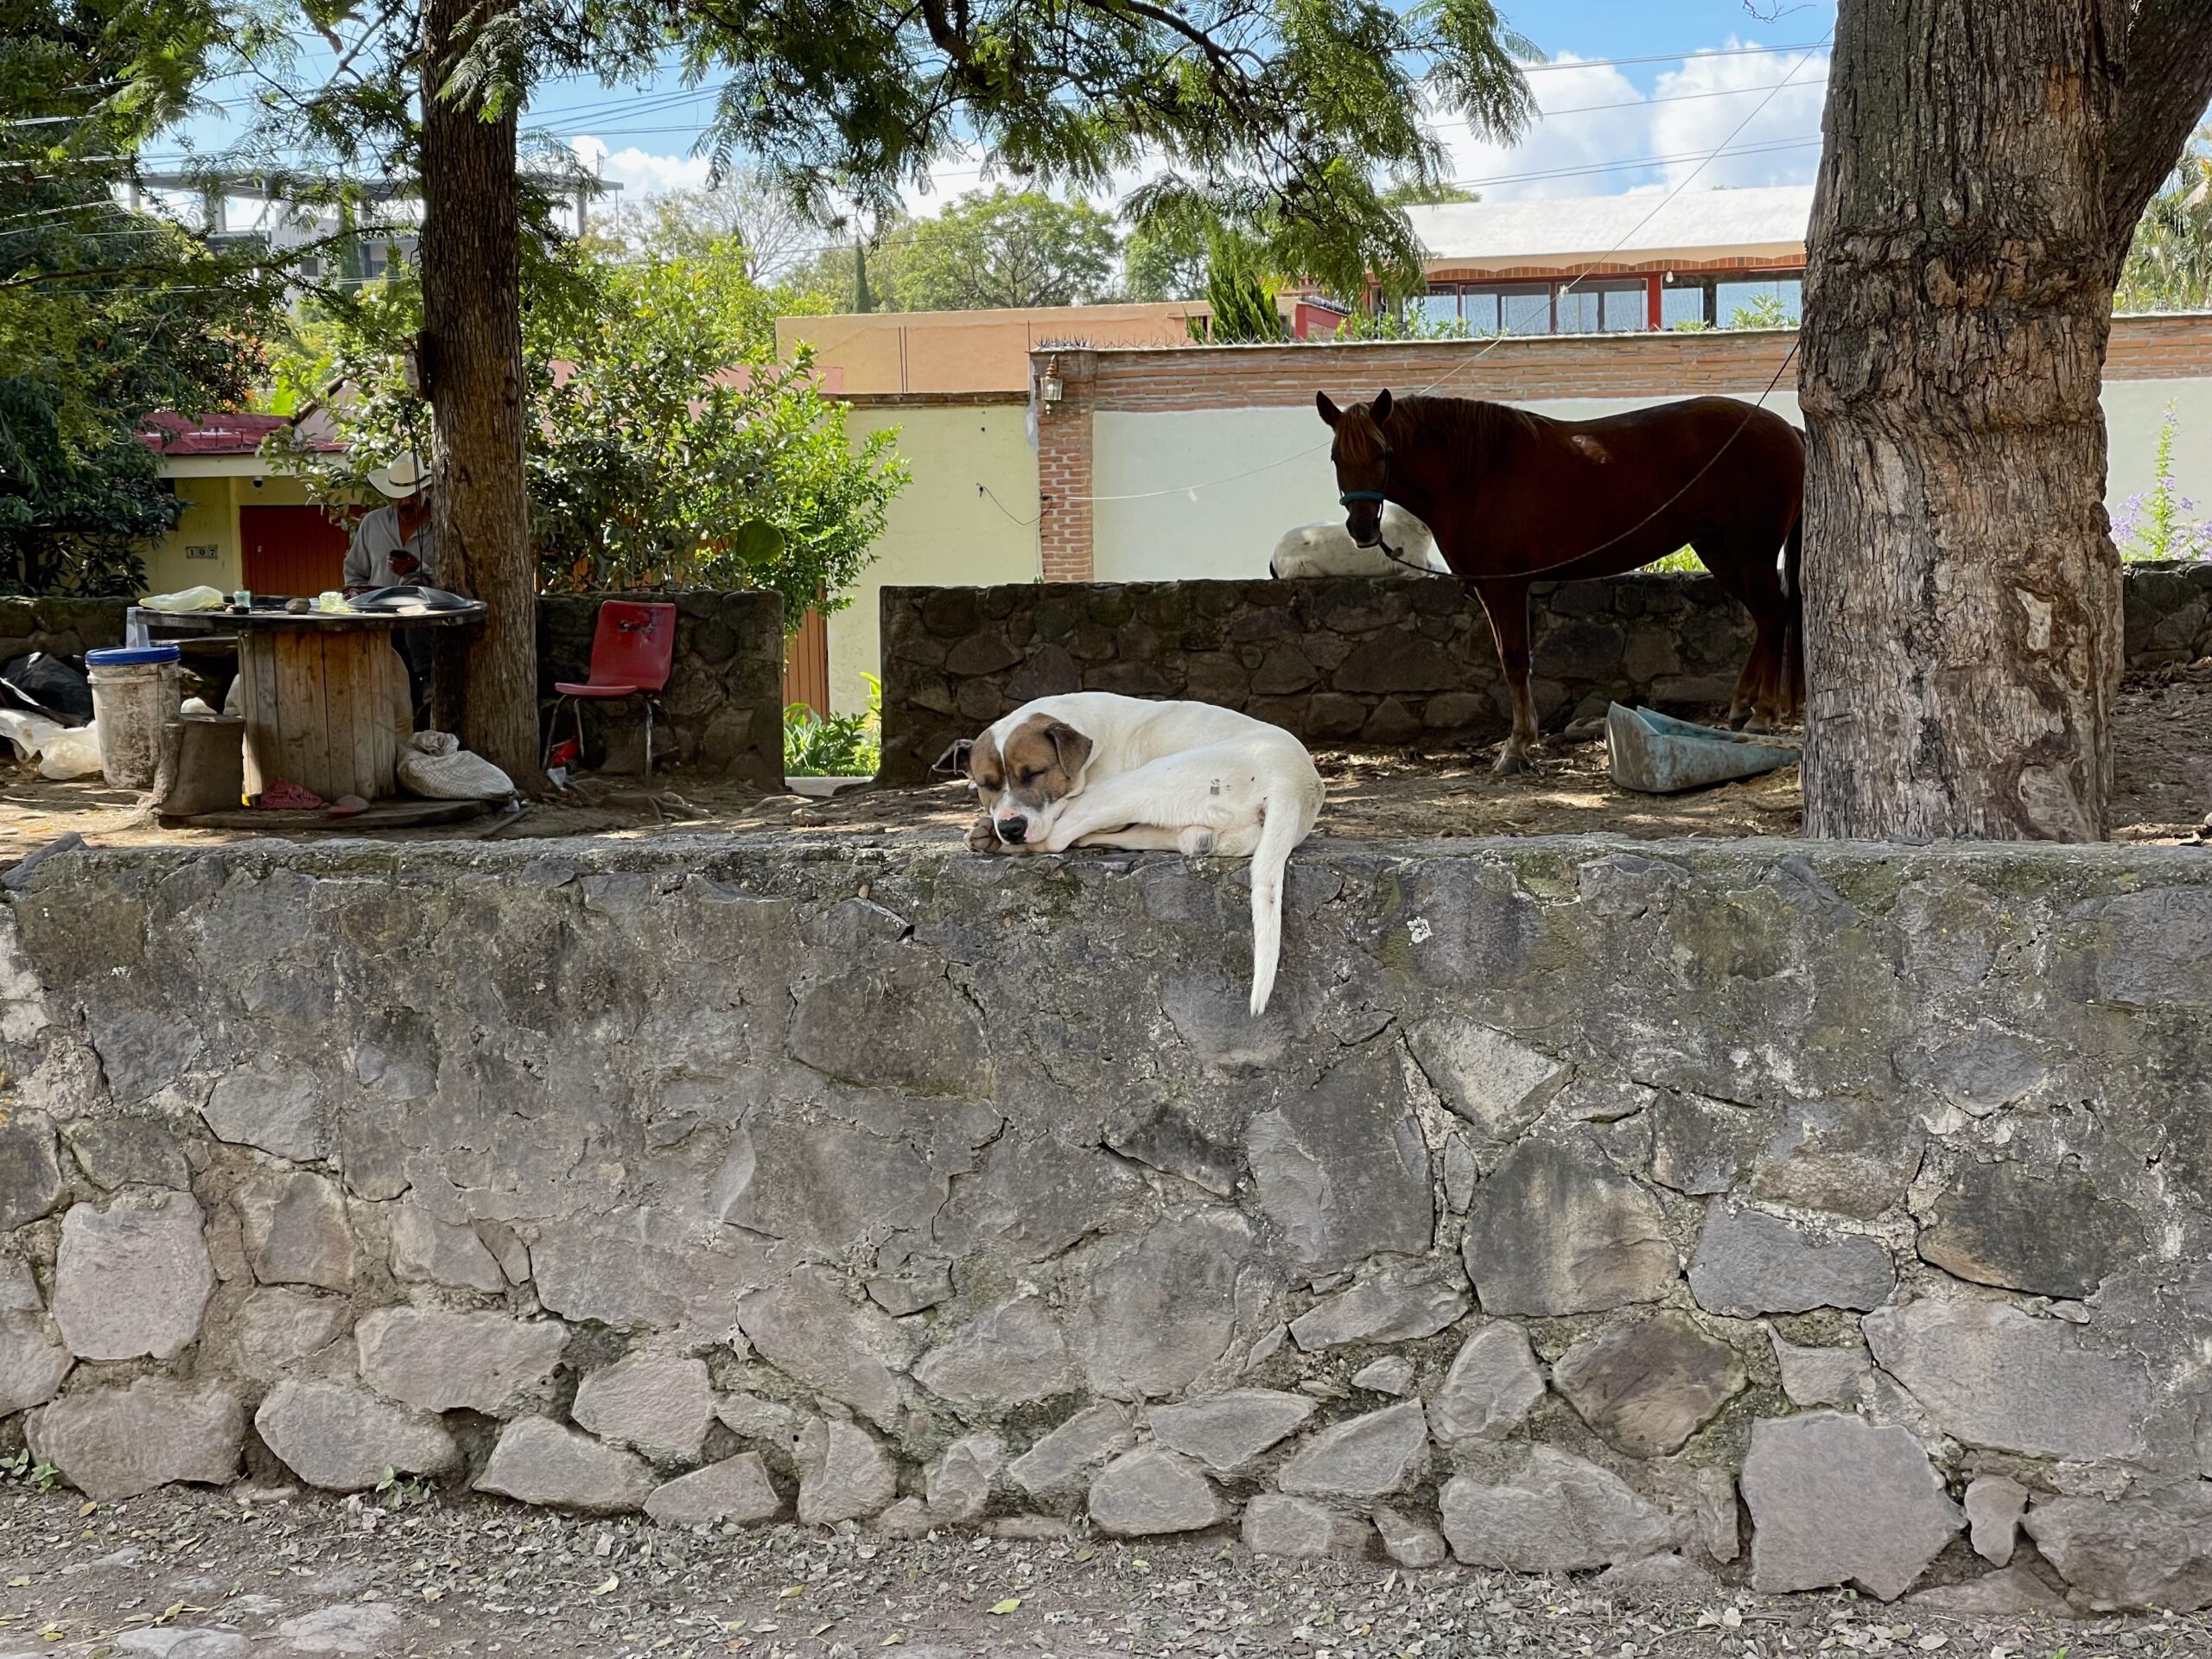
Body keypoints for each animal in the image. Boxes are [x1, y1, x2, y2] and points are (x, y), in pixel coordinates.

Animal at [937, 692, 1324, 1015]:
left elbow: (1057, 823)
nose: (1011, 827)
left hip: (1138, 782)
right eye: (986, 784)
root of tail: (1291, 785)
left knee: (1059, 838)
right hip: (1184, 823)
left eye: (1035, 773)